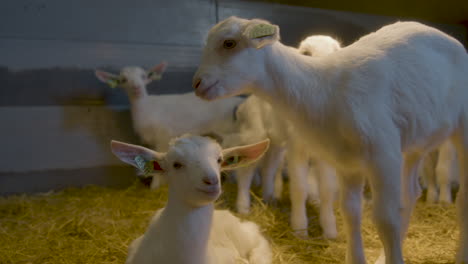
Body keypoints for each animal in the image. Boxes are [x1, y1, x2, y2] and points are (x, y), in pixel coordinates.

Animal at [93, 63, 243, 188]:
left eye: (143, 76)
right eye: (123, 80)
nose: (136, 89)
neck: (146, 108)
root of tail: (238, 101)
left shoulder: (162, 137)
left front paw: (155, 187)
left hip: (227, 130)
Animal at [192, 17, 468, 264]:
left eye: (229, 43)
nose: (197, 83)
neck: (324, 87)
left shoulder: (383, 155)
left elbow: (386, 218)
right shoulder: (346, 161)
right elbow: (350, 212)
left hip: (460, 128)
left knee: (460, 197)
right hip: (414, 143)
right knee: (411, 194)